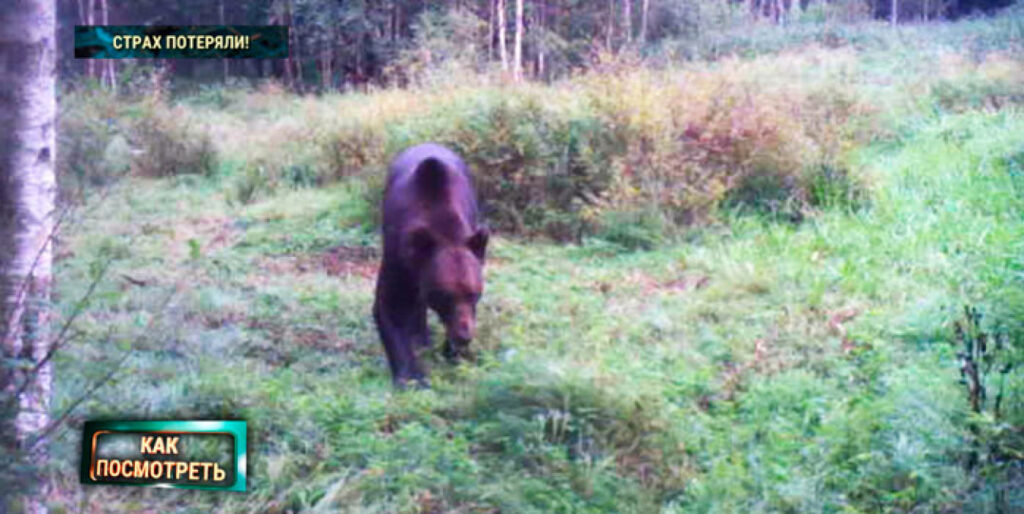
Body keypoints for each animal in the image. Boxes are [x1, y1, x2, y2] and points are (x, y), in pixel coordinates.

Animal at [373, 143, 489, 387]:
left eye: (474, 293)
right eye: (446, 296)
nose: (464, 336)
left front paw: (455, 354)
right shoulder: (399, 258)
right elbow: (391, 306)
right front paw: (411, 376)